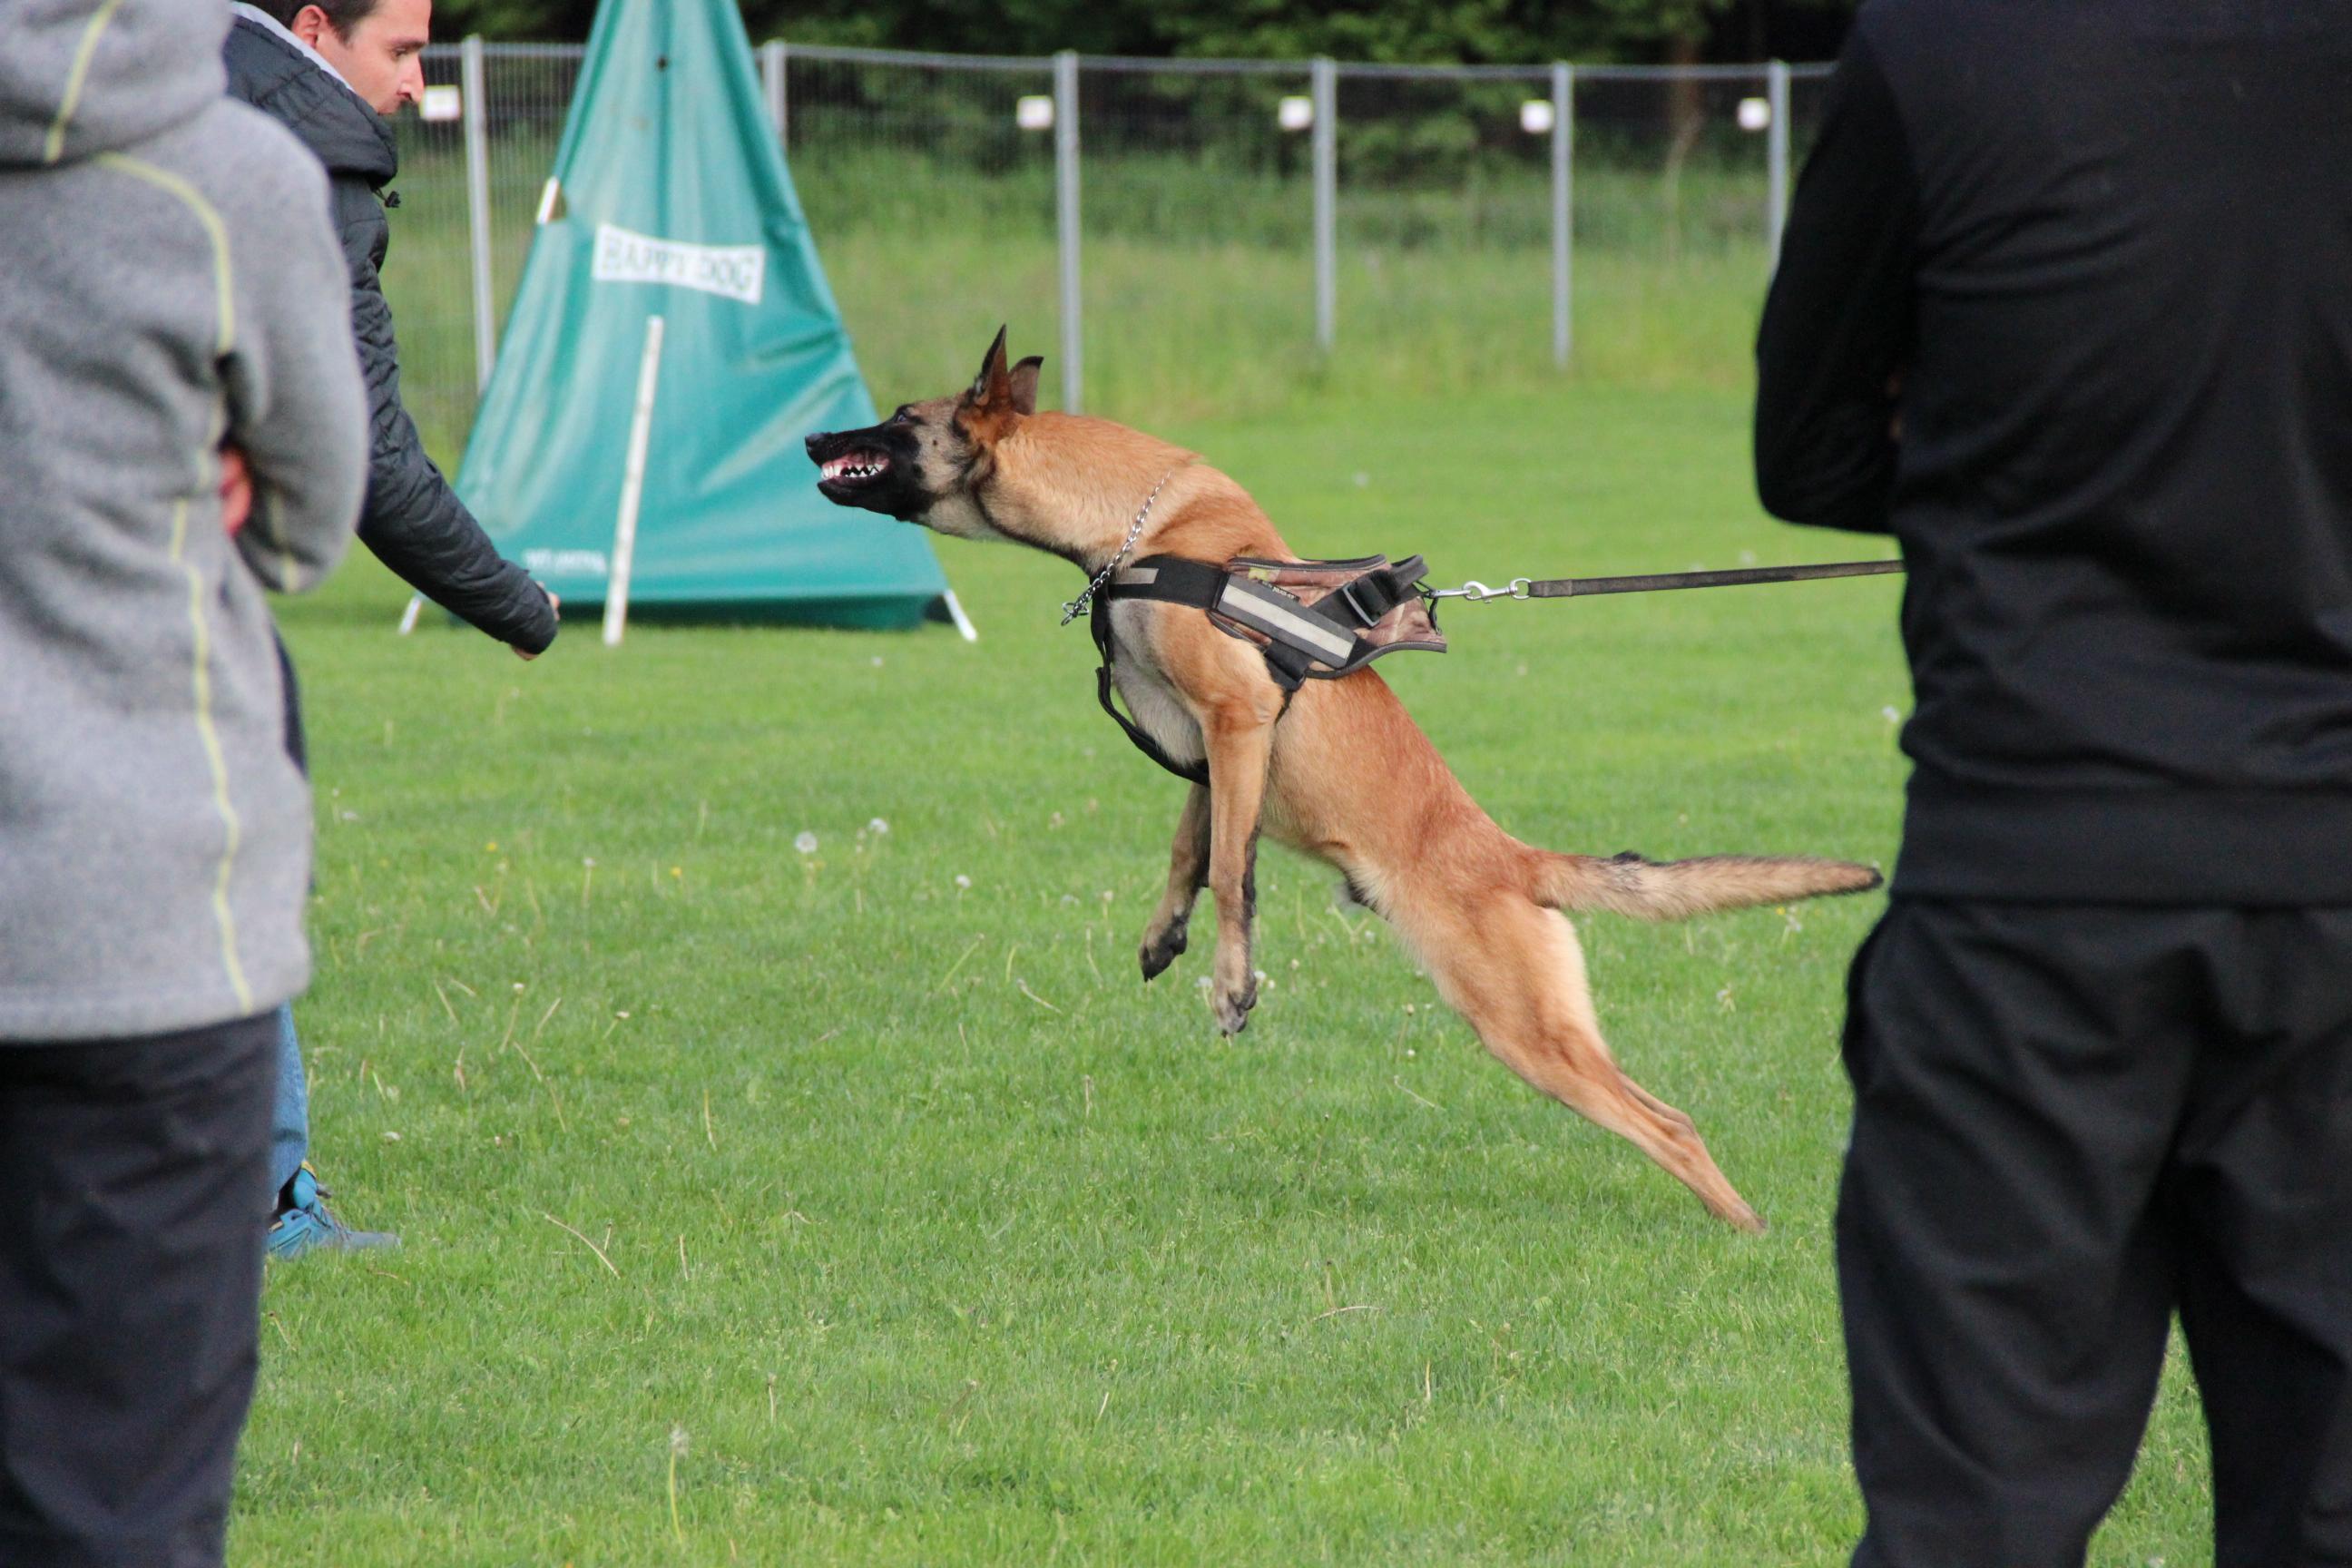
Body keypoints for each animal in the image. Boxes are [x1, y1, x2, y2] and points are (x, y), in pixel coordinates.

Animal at [808, 333, 1872, 1240]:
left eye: (899, 417)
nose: (815, 437)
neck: (1144, 533)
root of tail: (1509, 857)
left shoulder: (1238, 719)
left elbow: (1233, 875)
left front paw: (1233, 985)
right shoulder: (1214, 751)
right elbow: (1194, 849)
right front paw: (1164, 935)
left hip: (1522, 1028)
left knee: (1670, 1124)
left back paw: (1749, 1232)